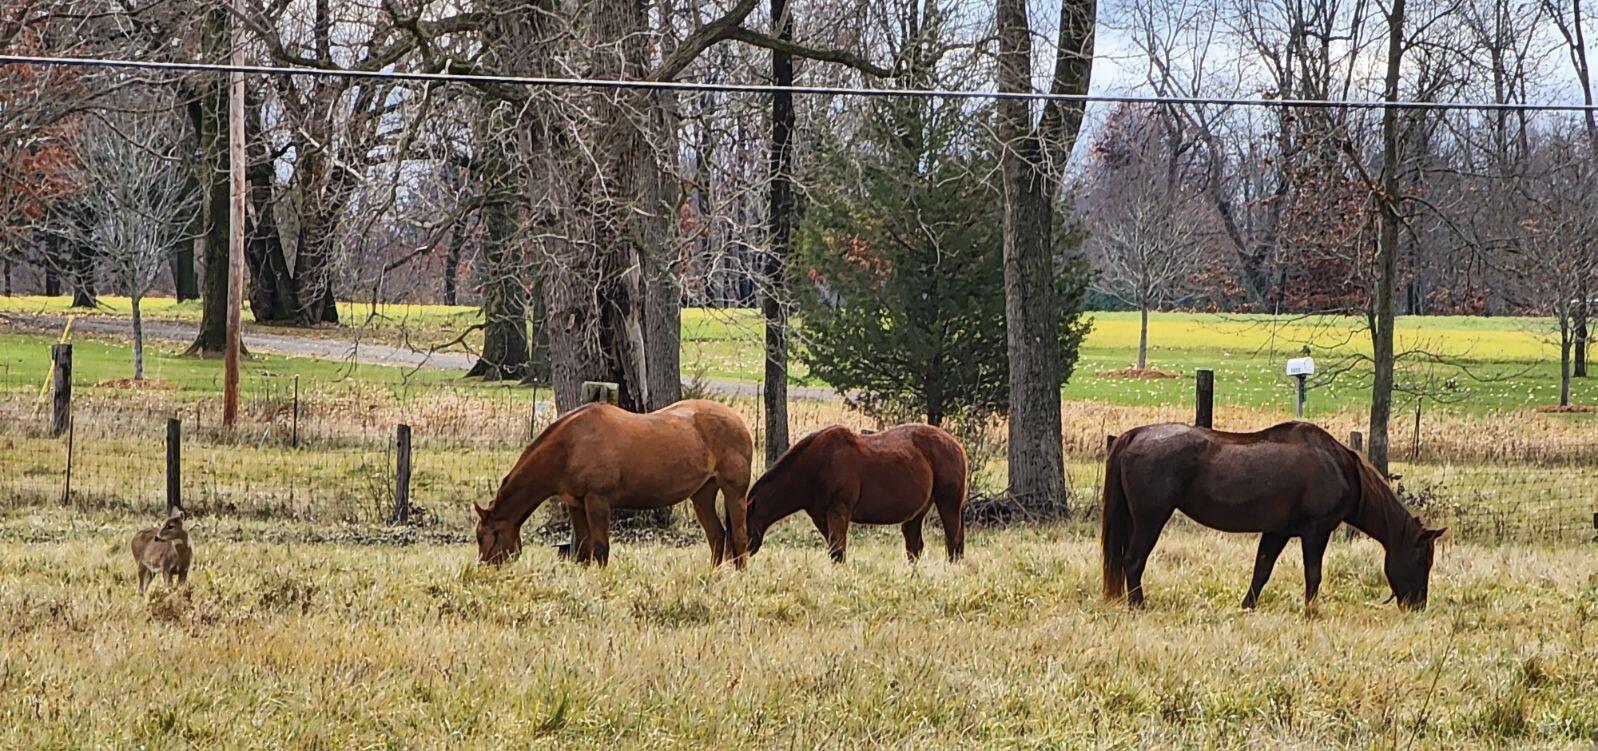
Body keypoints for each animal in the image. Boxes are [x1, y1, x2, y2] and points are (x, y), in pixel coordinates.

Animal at [473, 399, 753, 568]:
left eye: (489, 536)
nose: (485, 566)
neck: (571, 444)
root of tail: (739, 420)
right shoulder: (576, 504)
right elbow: (583, 549)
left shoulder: (598, 500)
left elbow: (600, 548)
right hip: (703, 493)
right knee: (717, 536)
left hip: (734, 491)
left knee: (739, 537)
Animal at [742, 423, 968, 563]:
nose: (737, 557)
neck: (816, 465)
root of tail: (956, 445)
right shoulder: (821, 517)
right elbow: (834, 551)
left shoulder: (838, 511)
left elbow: (838, 552)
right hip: (917, 512)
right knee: (915, 546)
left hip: (948, 503)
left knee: (953, 541)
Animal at [1101, 421, 1444, 611]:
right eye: (1420, 560)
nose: (1418, 606)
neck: (1340, 469)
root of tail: (1136, 434)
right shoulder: (1316, 532)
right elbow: (1313, 574)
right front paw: (1311, 611)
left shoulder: (1276, 532)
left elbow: (1261, 571)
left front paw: (1247, 606)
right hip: (1150, 519)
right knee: (1133, 561)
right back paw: (1138, 605)